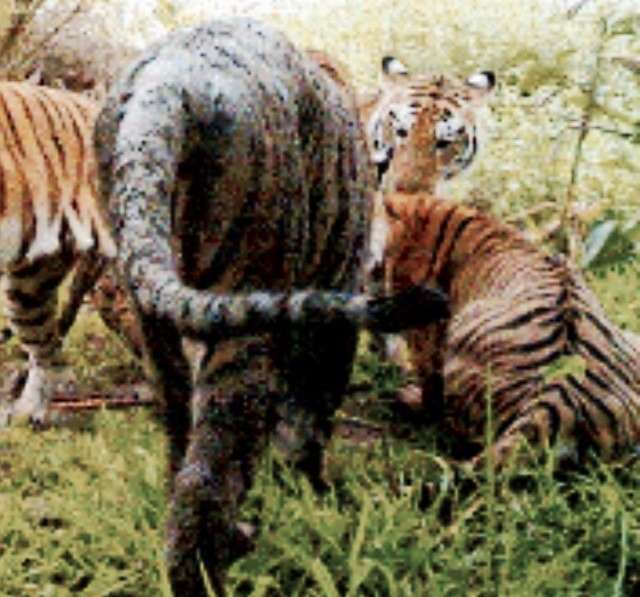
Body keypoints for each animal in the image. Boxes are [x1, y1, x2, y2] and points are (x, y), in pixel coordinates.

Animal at [93, 19, 449, 595]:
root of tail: (165, 81)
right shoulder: (336, 301)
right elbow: (308, 415)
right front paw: (317, 494)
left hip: (151, 309)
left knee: (178, 435)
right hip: (248, 295)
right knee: (208, 475)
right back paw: (219, 563)